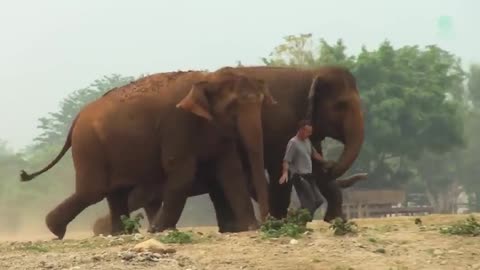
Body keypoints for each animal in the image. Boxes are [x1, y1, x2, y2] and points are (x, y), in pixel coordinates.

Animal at [19, 68, 278, 239]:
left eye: (262, 102)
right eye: (234, 106)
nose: (267, 224)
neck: (207, 77)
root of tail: (77, 118)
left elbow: (231, 172)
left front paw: (251, 228)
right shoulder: (176, 125)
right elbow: (182, 173)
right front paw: (159, 230)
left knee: (114, 192)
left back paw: (118, 232)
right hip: (89, 145)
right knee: (93, 191)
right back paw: (56, 229)